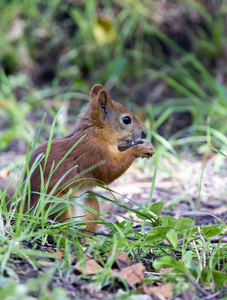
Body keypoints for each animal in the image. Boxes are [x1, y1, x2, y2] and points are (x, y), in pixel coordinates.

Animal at [8, 84, 155, 234]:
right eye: (126, 120)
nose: (144, 132)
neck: (97, 132)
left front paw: (144, 145)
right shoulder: (95, 152)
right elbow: (109, 171)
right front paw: (139, 149)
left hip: (90, 205)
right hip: (58, 203)